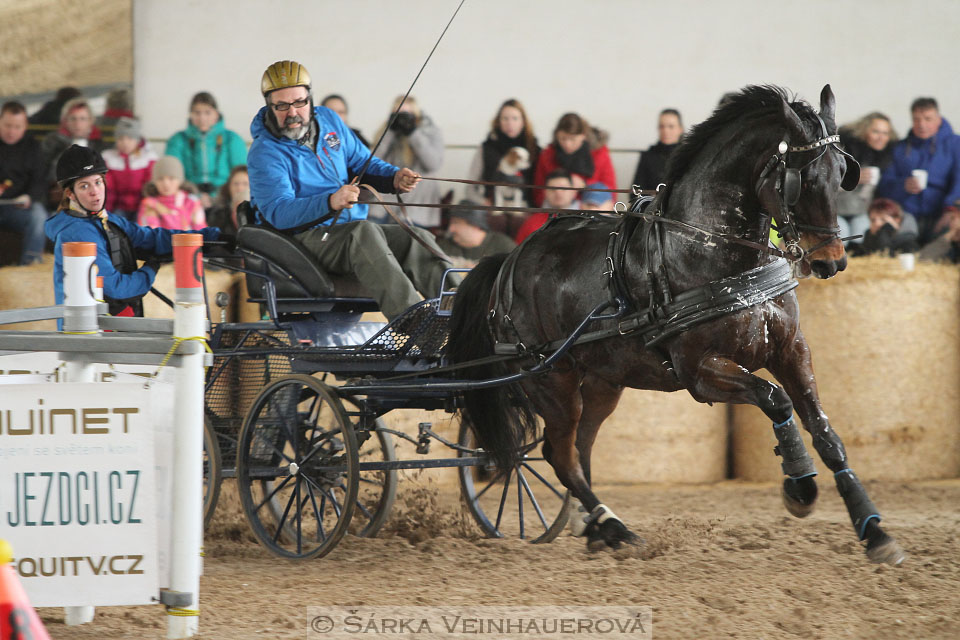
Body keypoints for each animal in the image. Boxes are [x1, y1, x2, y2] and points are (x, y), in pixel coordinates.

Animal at [450, 85, 908, 564]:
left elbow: (825, 431)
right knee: (559, 454)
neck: (709, 251)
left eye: (842, 174)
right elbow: (775, 399)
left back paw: (597, 529)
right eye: (801, 179)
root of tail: (510, 259)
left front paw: (874, 529)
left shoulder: (790, 349)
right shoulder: (700, 372)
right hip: (550, 380)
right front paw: (799, 487)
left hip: (602, 383)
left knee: (578, 448)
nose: (831, 262)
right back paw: (614, 528)